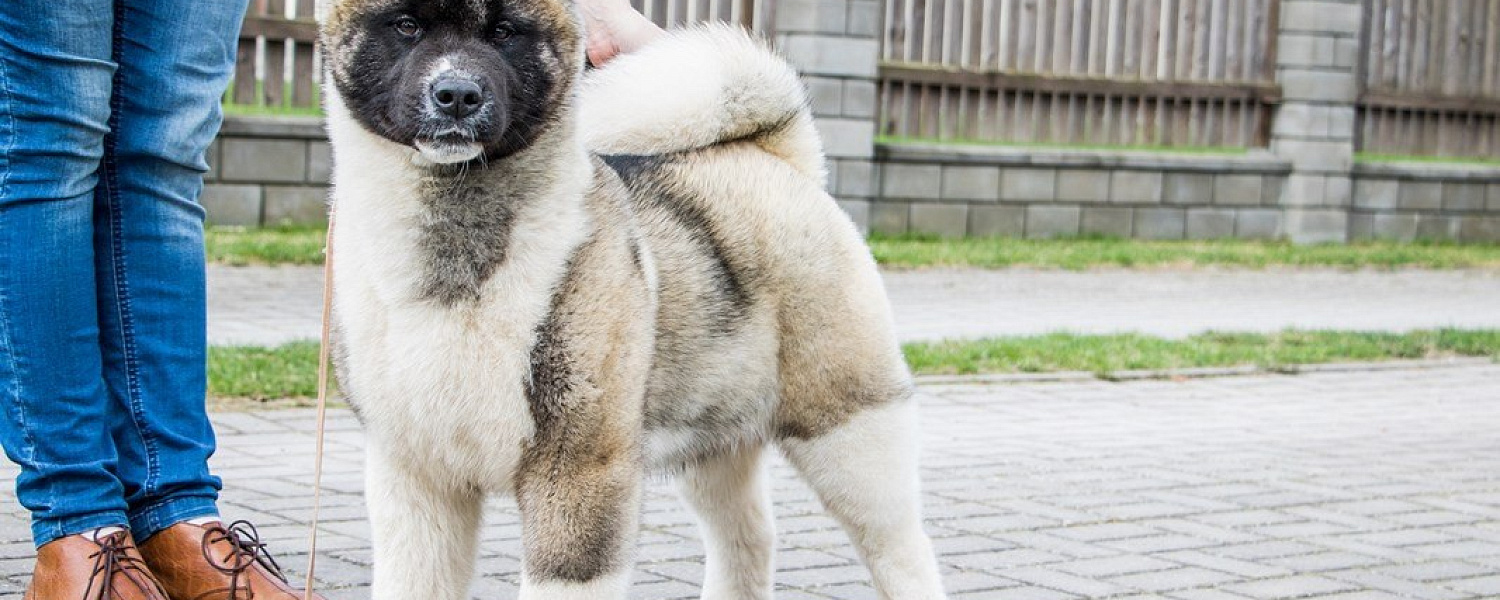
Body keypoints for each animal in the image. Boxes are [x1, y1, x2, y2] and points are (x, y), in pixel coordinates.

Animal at [318, 2, 948, 597]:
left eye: (503, 31)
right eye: (406, 25)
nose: (456, 94)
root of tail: (776, 159)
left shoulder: (578, 475)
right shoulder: (417, 479)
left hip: (849, 431)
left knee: (900, 548)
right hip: (712, 433)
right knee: (747, 538)